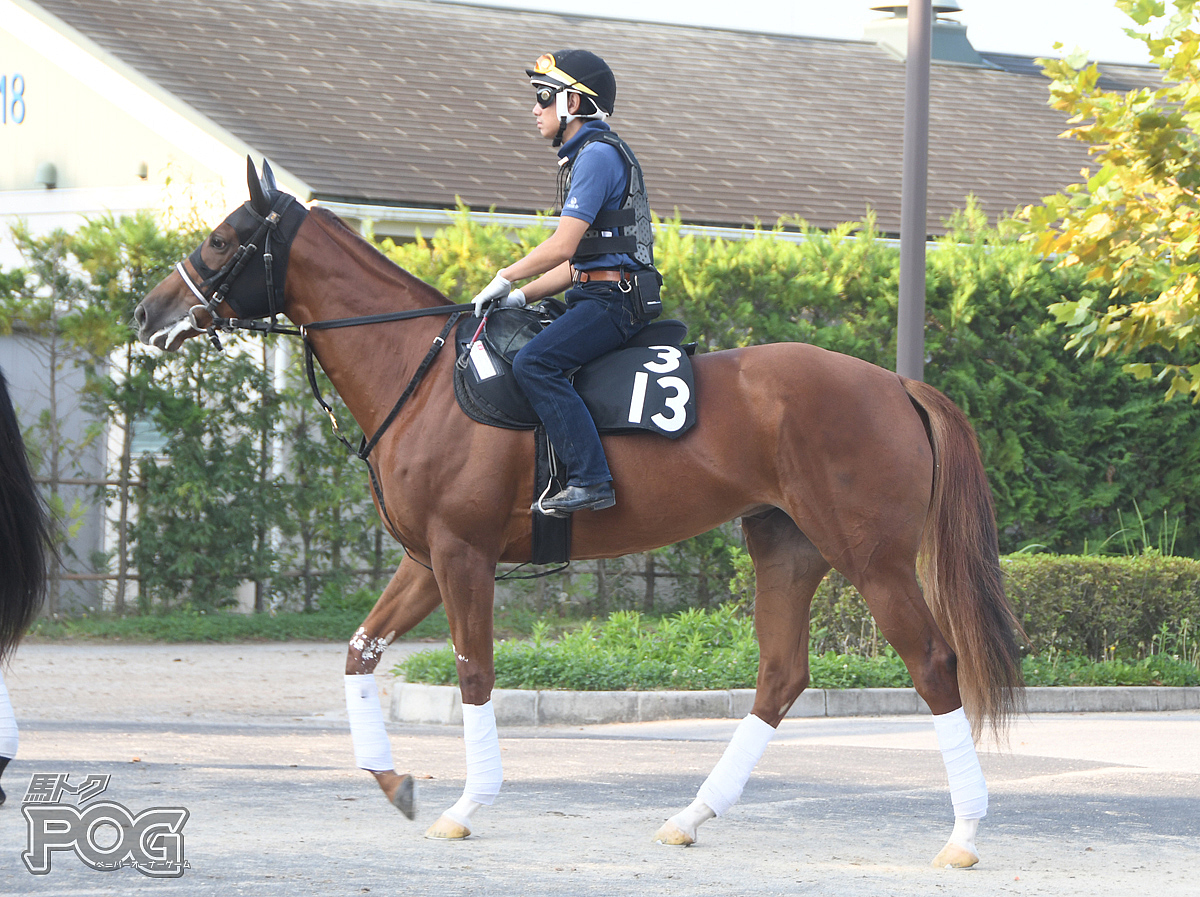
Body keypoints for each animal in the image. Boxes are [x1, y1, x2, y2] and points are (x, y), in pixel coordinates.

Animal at [138, 160, 1022, 868]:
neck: (424, 371)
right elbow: (360, 654)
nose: (149, 315)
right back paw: (691, 813)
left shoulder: (461, 556)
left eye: (222, 239)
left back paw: (965, 833)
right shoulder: (424, 560)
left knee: (934, 666)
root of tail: (896, 383)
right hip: (788, 548)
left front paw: (466, 804)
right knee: (780, 675)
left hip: (872, 560)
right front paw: (394, 781)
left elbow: (474, 671)